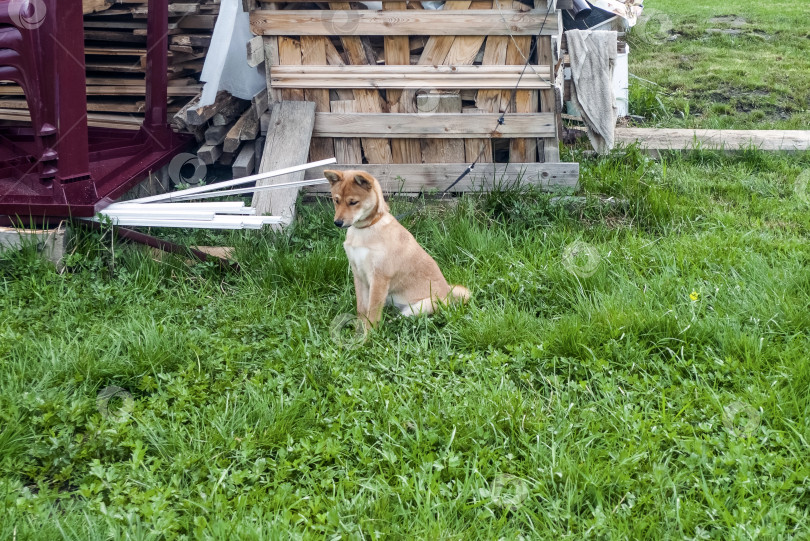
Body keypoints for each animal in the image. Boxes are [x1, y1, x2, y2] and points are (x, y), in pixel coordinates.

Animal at [326, 171, 470, 326]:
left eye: (353, 202)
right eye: (336, 200)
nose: (337, 223)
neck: (366, 229)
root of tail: (449, 294)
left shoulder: (379, 278)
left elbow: (373, 313)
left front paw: (369, 332)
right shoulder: (359, 274)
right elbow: (362, 308)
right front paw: (359, 326)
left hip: (423, 305)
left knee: (401, 318)